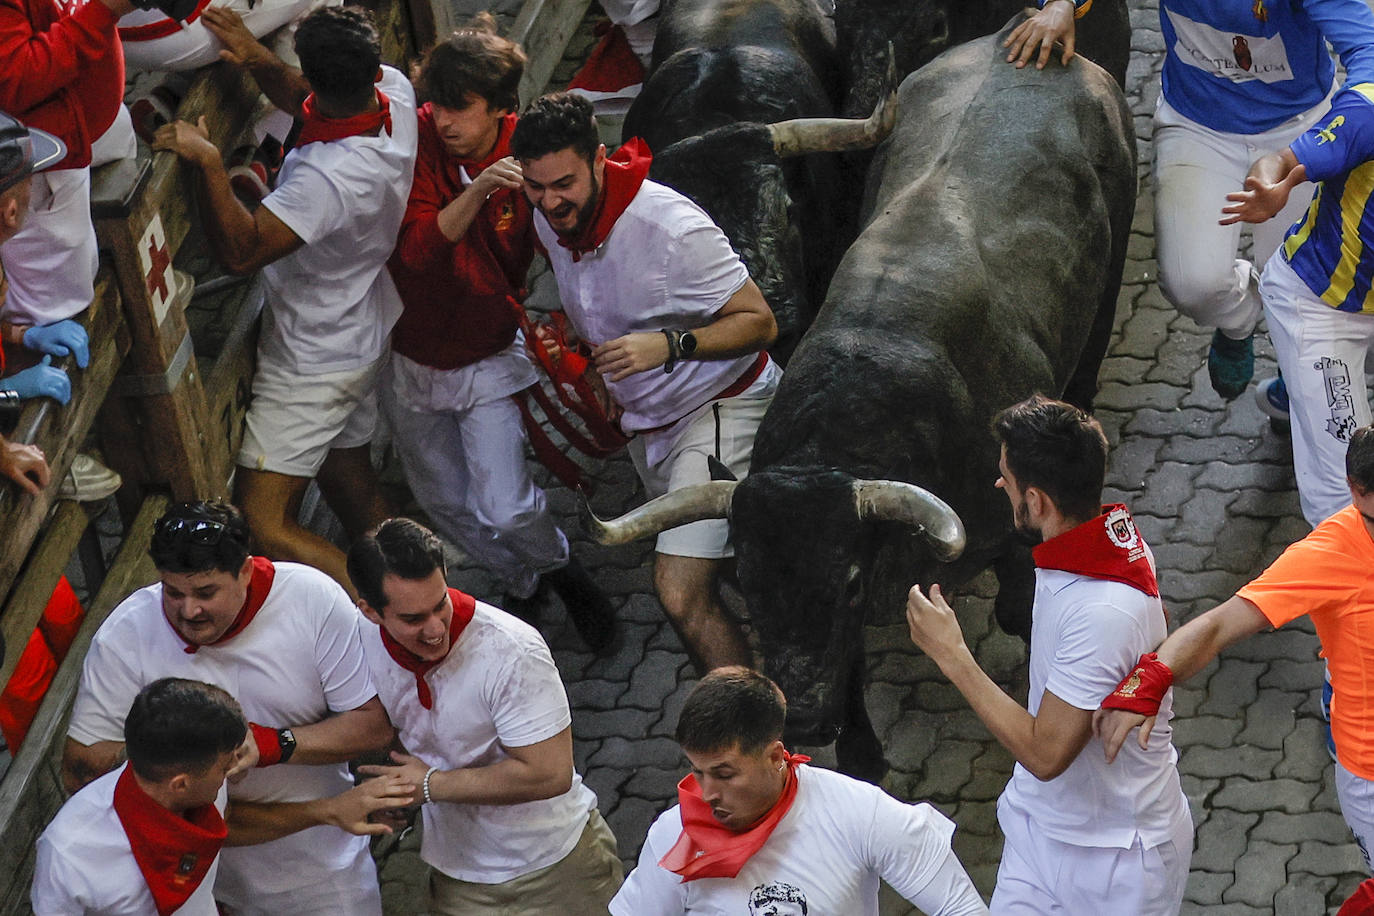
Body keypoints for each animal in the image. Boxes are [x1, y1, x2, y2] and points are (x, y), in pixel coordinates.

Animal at [585, 23, 1132, 780]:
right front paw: (860, 750)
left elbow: (1022, 609)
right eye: (747, 578)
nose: (806, 718)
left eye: (845, 580)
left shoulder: (1013, 529)